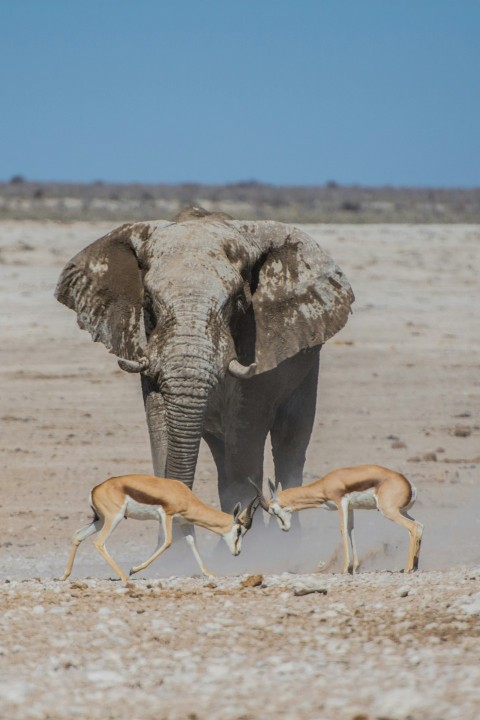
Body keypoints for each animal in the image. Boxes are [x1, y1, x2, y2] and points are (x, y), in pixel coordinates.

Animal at [55, 206, 354, 511]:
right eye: (147, 303)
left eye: (237, 302)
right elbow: (160, 432)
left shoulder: (257, 344)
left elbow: (244, 451)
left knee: (288, 446)